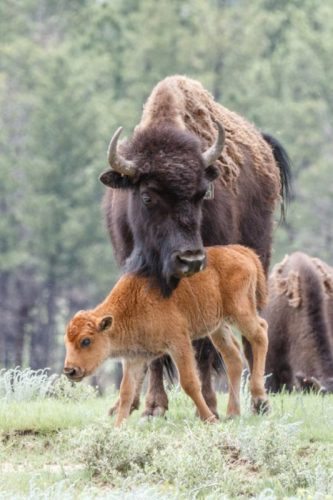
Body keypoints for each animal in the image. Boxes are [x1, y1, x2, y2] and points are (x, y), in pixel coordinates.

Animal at [63, 245, 268, 426]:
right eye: (67, 342)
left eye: (86, 340)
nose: (70, 370)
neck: (130, 306)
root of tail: (240, 250)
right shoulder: (135, 358)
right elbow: (126, 391)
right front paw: (117, 428)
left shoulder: (179, 343)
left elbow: (189, 383)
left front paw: (210, 419)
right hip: (218, 326)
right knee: (233, 356)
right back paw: (233, 413)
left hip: (240, 312)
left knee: (261, 333)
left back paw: (259, 396)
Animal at [99, 75, 290, 418]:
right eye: (147, 195)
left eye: (202, 194)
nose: (189, 259)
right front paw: (152, 407)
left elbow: (201, 345)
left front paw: (209, 404)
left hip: (258, 258)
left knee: (252, 334)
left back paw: (258, 400)